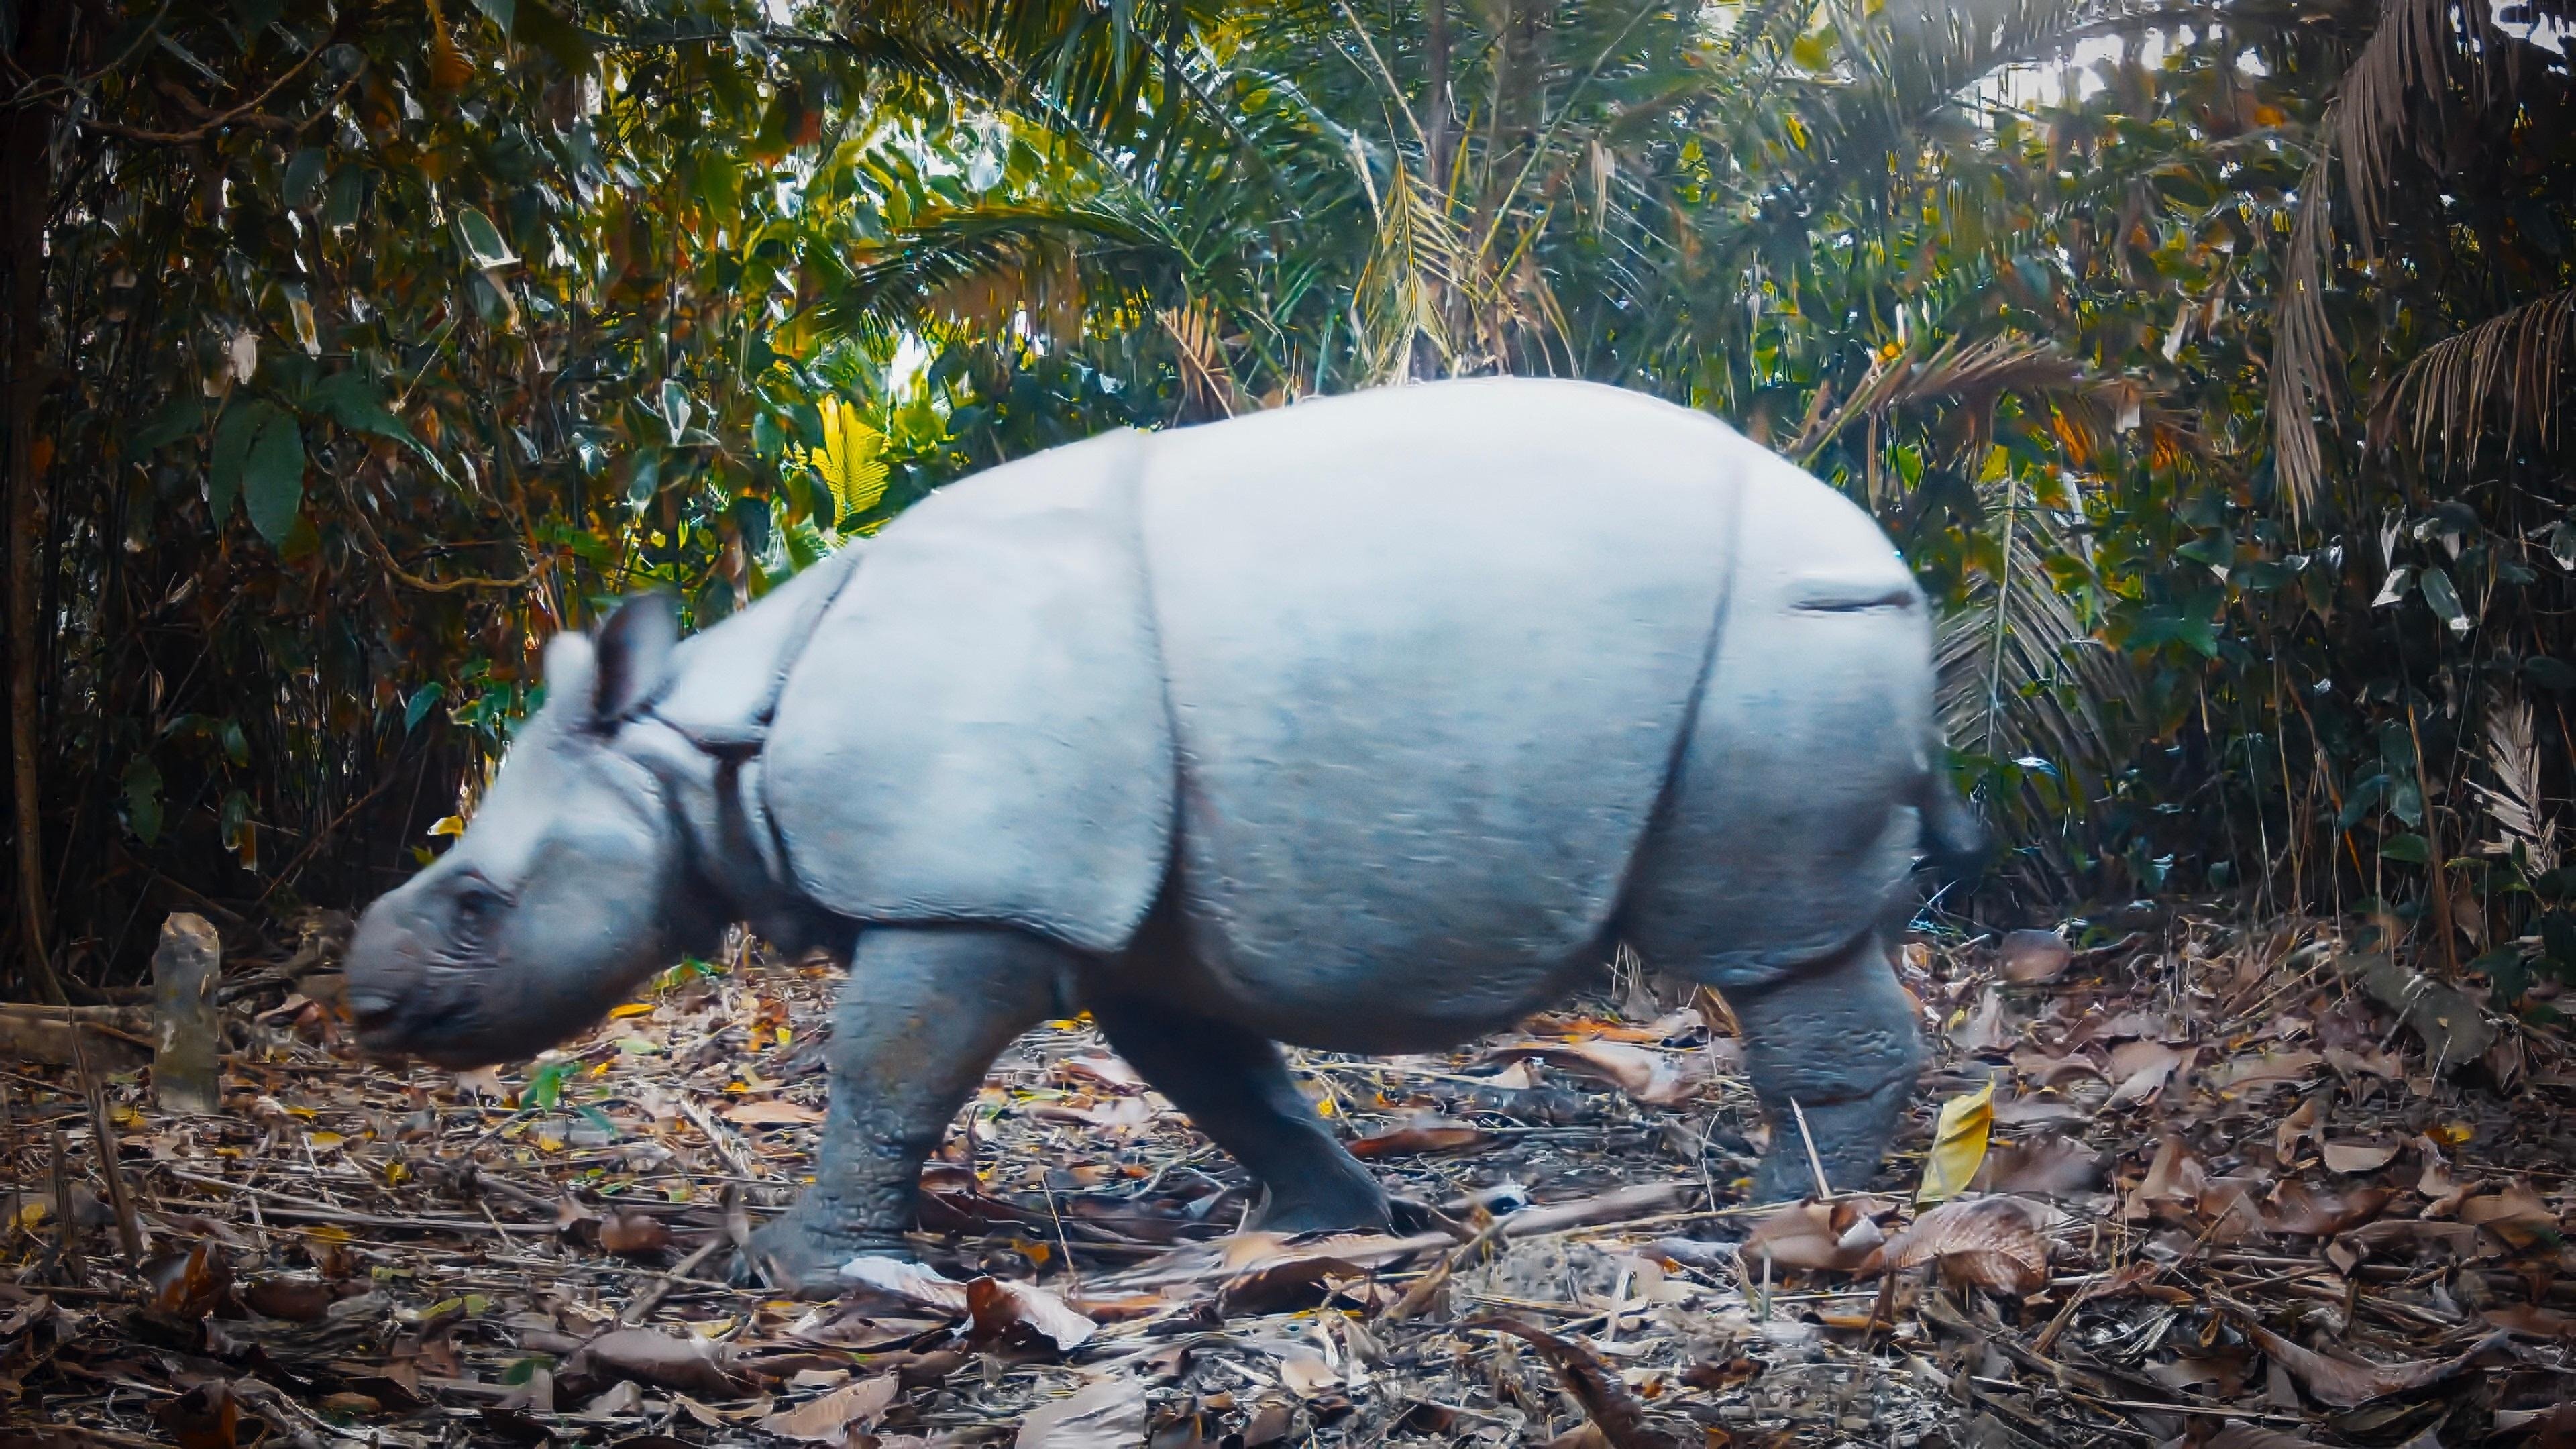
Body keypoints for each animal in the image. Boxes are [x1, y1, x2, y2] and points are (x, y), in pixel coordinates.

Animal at [346, 378, 1978, 1290]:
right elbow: (1218, 1070)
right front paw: (1331, 1226)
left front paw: (802, 1273)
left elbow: (883, 1076)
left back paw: (1777, 1232)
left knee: (1771, 949)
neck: (703, 745)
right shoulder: (1119, 914)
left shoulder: (970, 893)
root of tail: (1895, 564)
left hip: (1778, 646)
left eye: (480, 904)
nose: (366, 1005)